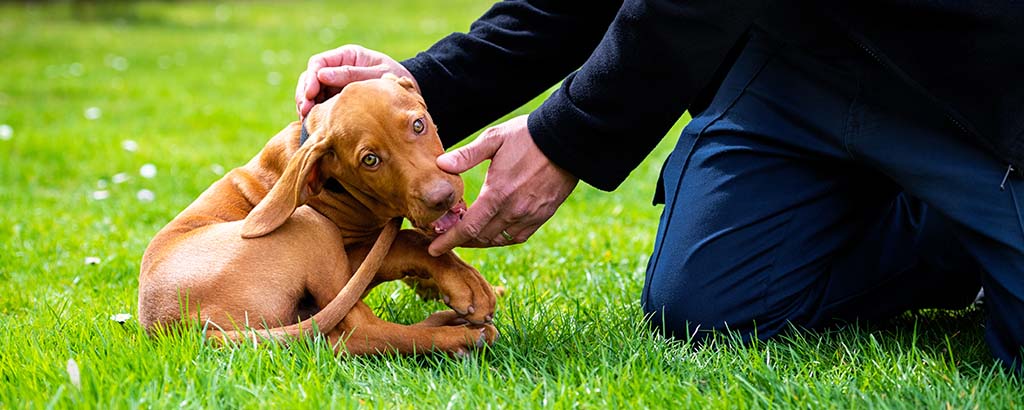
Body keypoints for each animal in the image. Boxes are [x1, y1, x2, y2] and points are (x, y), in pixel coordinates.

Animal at [138, 74, 497, 354]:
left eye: (419, 125)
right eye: (370, 160)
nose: (442, 197)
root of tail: (176, 327)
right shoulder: (355, 255)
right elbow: (409, 240)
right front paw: (467, 284)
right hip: (311, 226)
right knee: (356, 332)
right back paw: (460, 336)